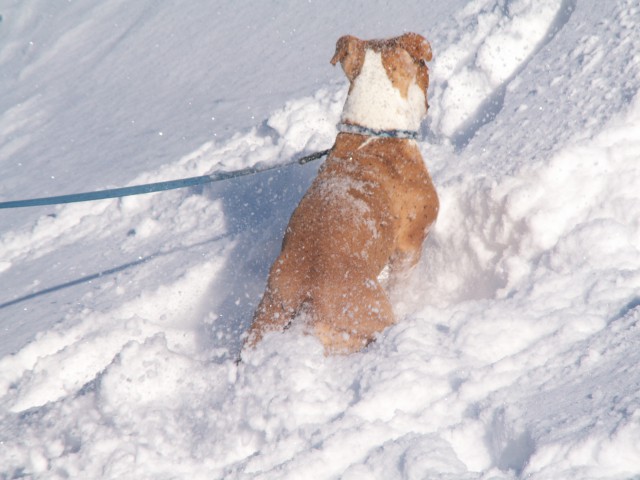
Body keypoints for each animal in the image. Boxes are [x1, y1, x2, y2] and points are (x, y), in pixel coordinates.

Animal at [242, 32, 438, 352]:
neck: (373, 131)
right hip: (370, 316)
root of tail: (305, 297)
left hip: (268, 311)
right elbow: (403, 282)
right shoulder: (410, 244)